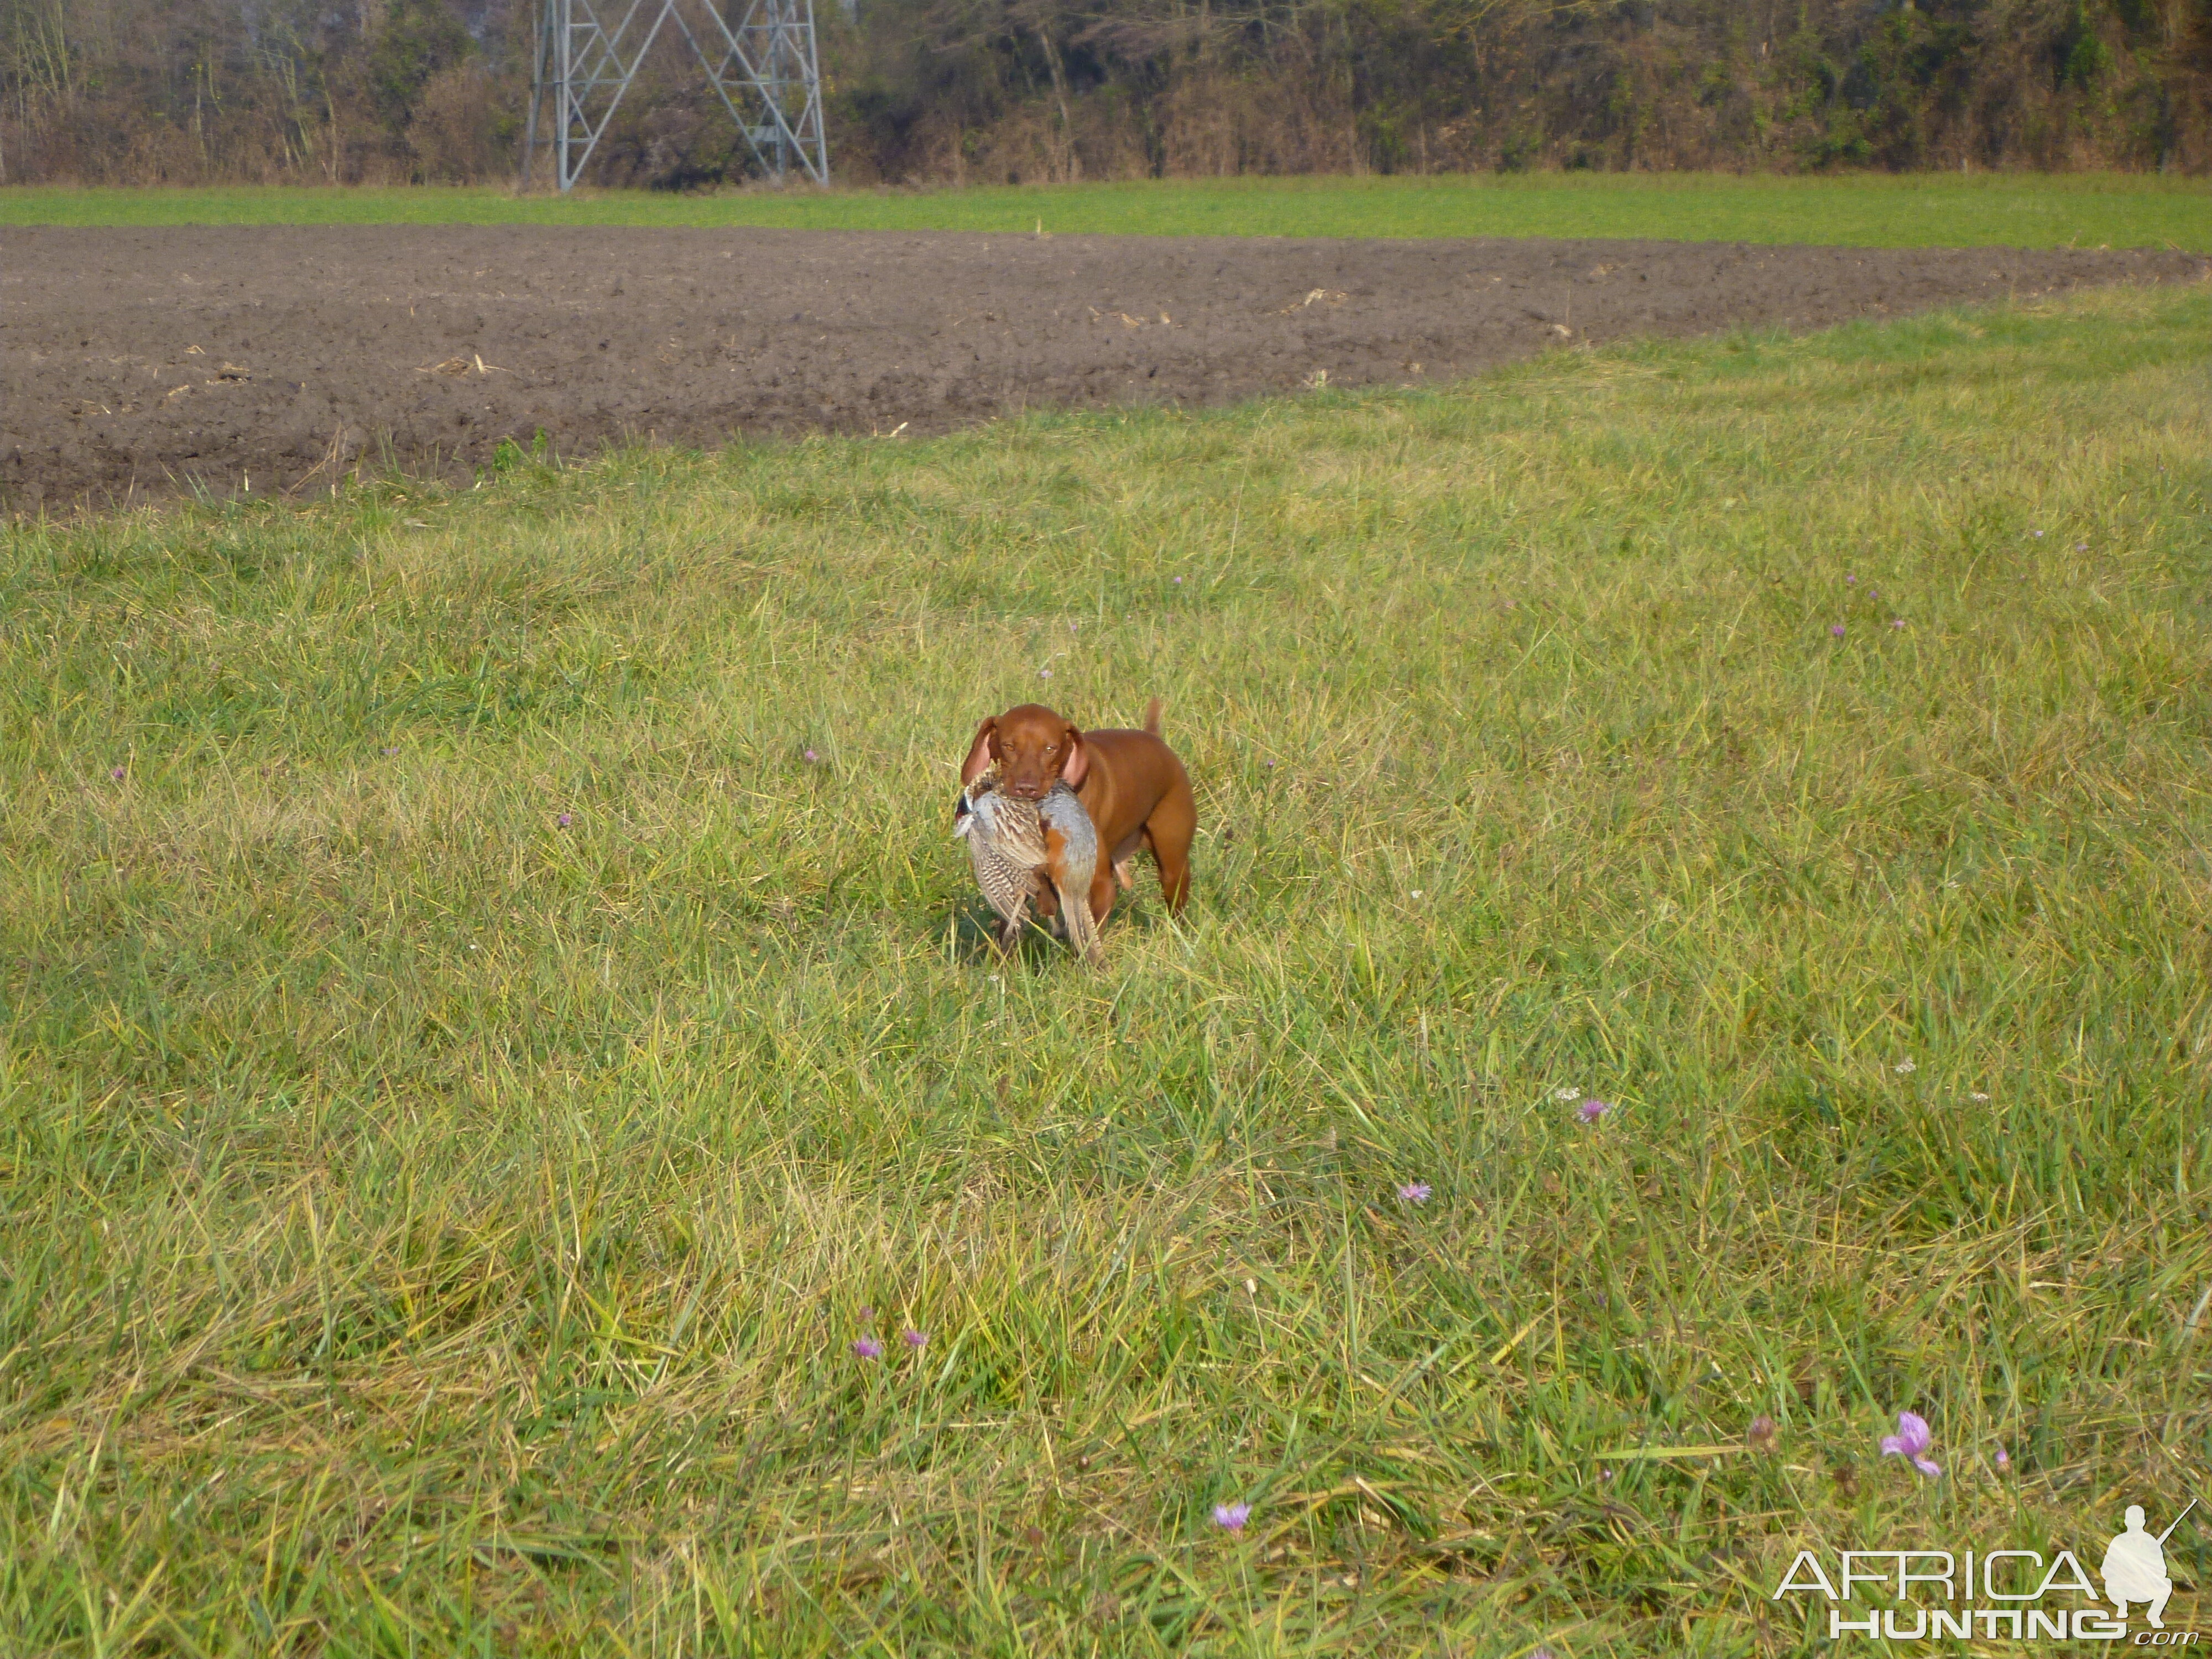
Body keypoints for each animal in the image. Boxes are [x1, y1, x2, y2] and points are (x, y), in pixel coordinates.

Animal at [956, 699, 1194, 938]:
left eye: (1050, 749)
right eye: (1009, 746)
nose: (1026, 788)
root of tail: (1155, 739)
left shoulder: (1101, 887)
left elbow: (1088, 937)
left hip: (1173, 867)